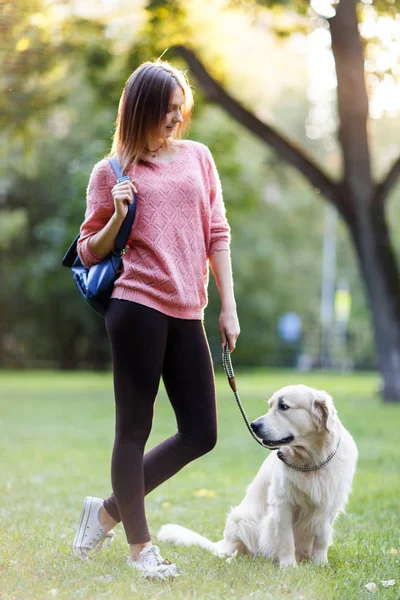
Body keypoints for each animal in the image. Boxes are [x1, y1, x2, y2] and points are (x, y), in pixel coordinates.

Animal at [158, 384, 358, 568]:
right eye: (270, 406)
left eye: (283, 406)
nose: (254, 425)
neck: (312, 460)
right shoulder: (283, 505)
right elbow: (286, 539)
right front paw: (288, 566)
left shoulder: (329, 504)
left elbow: (322, 537)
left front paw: (320, 564)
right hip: (241, 520)